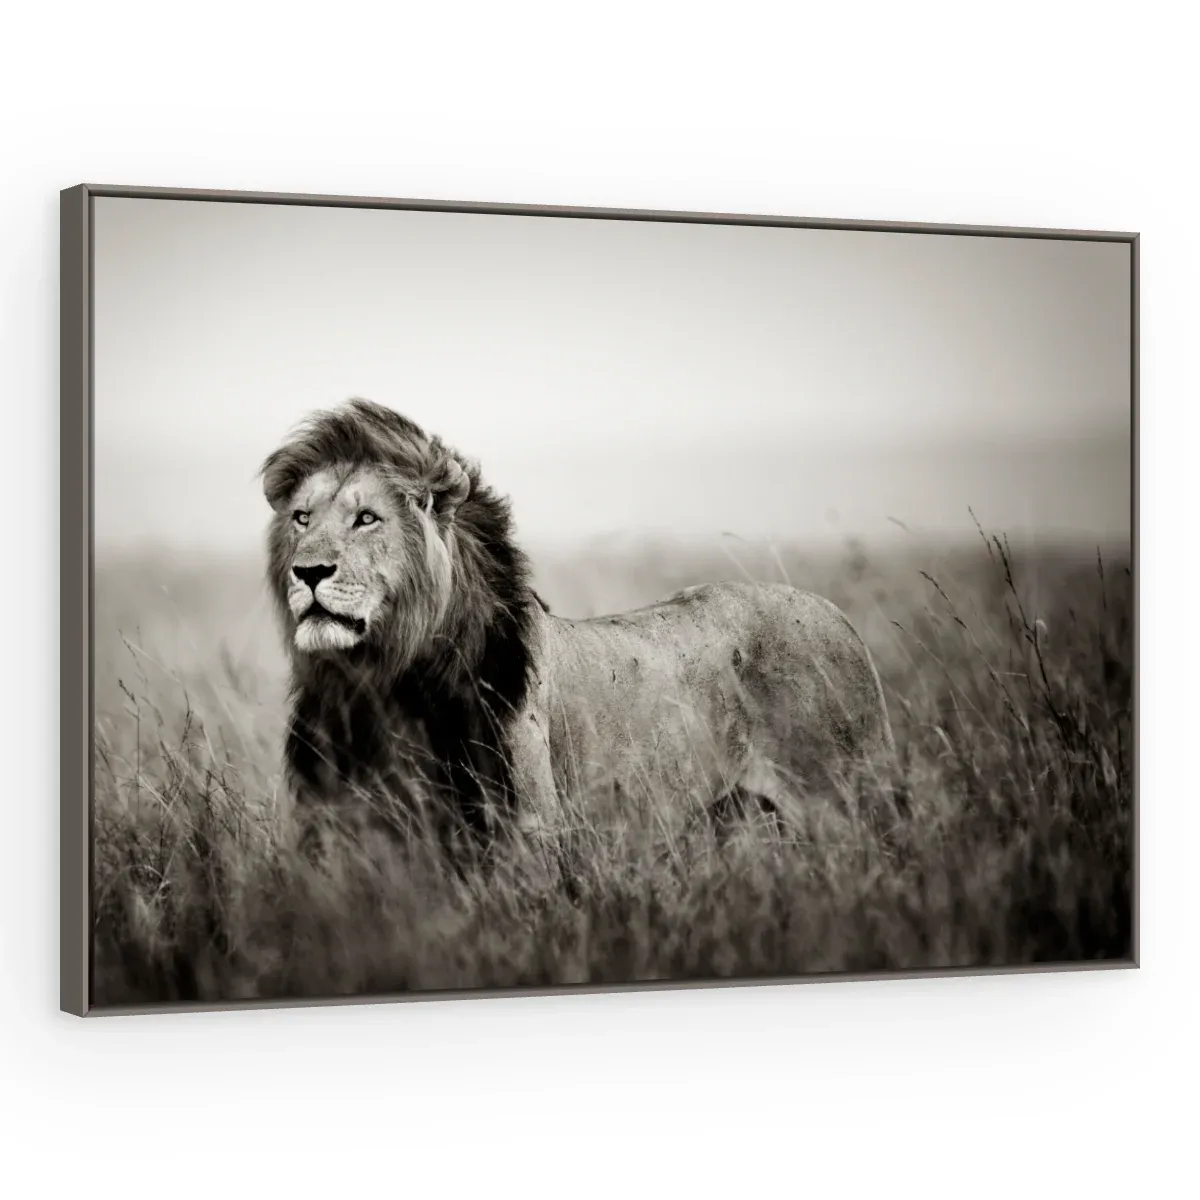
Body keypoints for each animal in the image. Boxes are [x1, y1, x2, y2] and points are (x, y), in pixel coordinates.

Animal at [261, 399, 897, 855]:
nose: (308, 571)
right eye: (302, 519)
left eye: (367, 519)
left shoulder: (526, 835)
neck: (380, 683)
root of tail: (839, 616)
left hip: (847, 803)